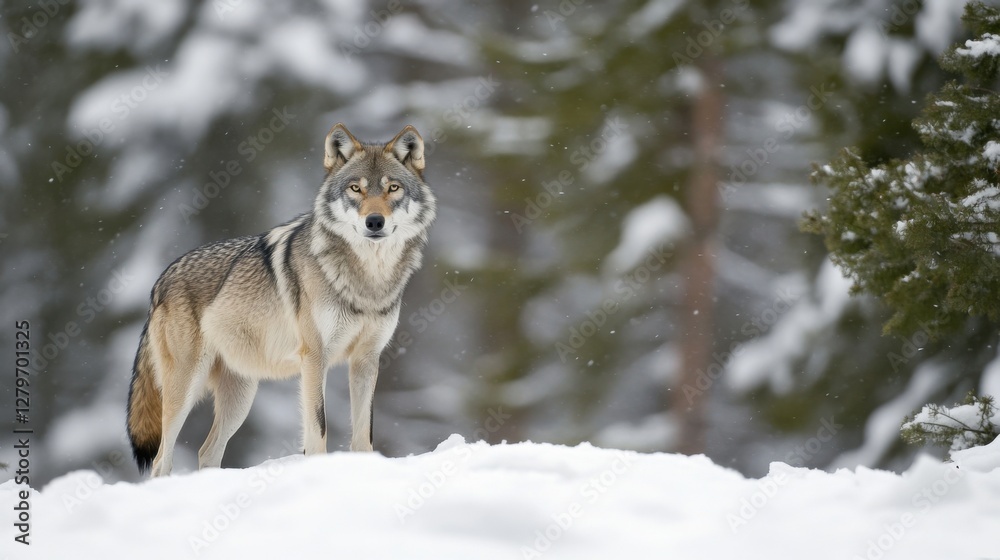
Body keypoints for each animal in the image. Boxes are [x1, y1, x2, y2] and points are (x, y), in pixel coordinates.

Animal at [126, 123, 436, 477]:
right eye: (355, 188)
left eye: (393, 188)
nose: (374, 222)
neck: (367, 281)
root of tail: (159, 281)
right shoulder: (314, 358)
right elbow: (319, 428)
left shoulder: (367, 359)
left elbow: (363, 434)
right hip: (185, 388)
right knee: (161, 459)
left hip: (241, 397)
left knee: (207, 451)